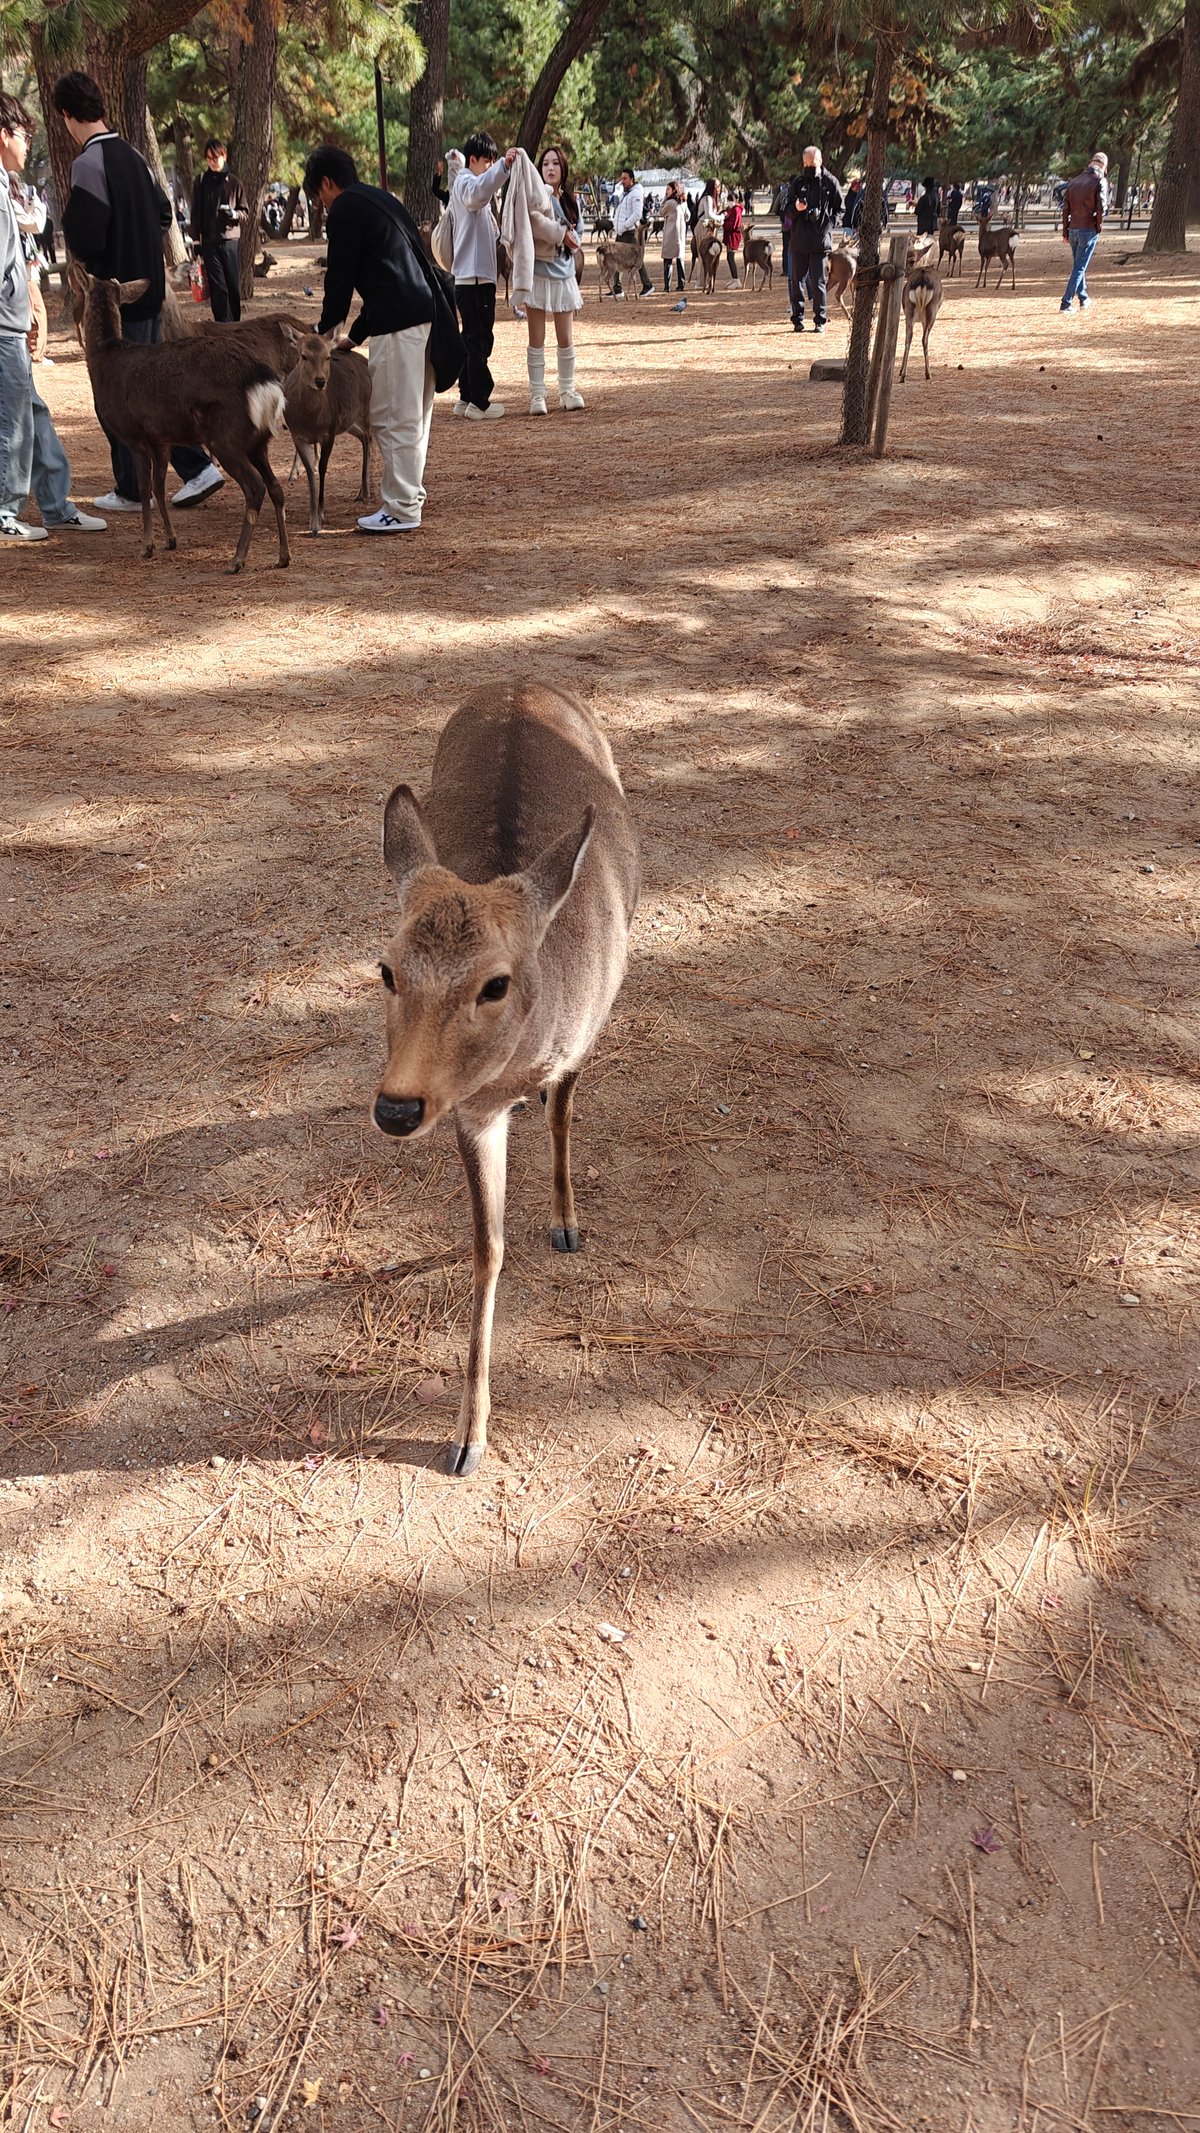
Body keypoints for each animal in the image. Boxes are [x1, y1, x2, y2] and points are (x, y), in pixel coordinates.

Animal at [373, 682, 641, 1479]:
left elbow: (562, 1116)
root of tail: (523, 678)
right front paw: (467, 1438)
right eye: (386, 969)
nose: (396, 1108)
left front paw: (566, 1224)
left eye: (495, 983)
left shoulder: (586, 1036)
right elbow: (487, 1247)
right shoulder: (470, 1110)